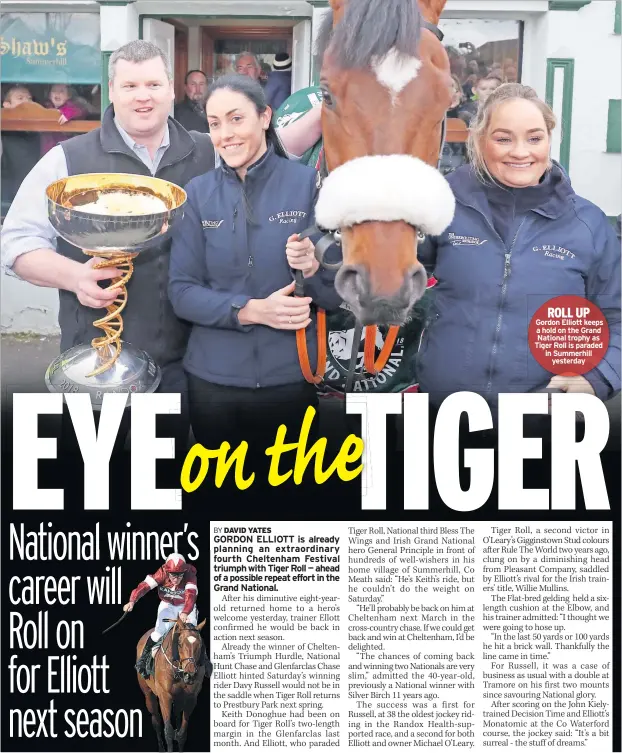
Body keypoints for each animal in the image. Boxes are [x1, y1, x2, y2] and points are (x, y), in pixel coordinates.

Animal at [137, 616, 212, 752]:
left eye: (200, 645)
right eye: (180, 643)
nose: (190, 675)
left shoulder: (191, 698)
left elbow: (182, 733)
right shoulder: (164, 696)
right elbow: (168, 731)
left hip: (178, 698)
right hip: (148, 694)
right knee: (156, 721)